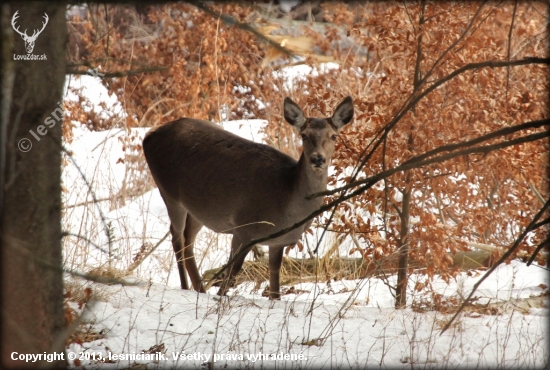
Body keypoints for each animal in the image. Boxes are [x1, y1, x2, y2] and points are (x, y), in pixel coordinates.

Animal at [143, 97, 354, 300]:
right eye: (304, 135)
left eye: (334, 136)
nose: (317, 159)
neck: (286, 198)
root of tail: (148, 136)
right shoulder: (244, 228)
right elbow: (231, 274)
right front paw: (219, 299)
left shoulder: (277, 242)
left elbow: (275, 285)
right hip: (169, 191)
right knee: (177, 236)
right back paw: (186, 288)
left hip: (197, 209)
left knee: (188, 241)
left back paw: (199, 290)